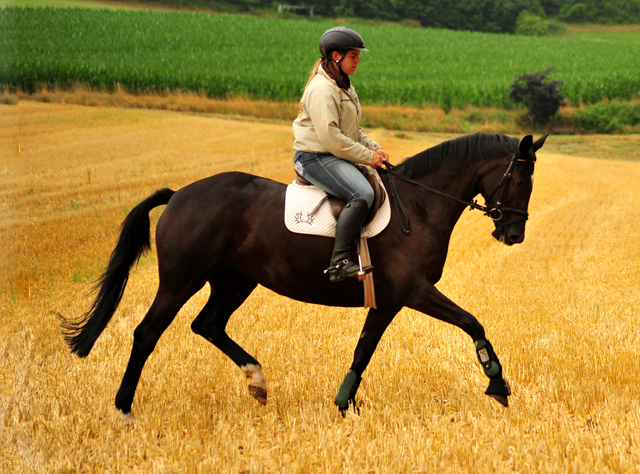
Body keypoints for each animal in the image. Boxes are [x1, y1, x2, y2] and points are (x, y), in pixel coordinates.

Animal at [62, 131, 548, 424]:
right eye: (521, 180)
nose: (515, 235)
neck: (420, 205)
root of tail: (180, 193)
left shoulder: (388, 300)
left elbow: (363, 350)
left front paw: (344, 404)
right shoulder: (414, 291)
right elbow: (472, 322)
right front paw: (497, 383)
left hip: (234, 281)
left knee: (208, 324)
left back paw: (257, 382)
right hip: (182, 280)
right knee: (147, 333)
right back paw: (124, 410)